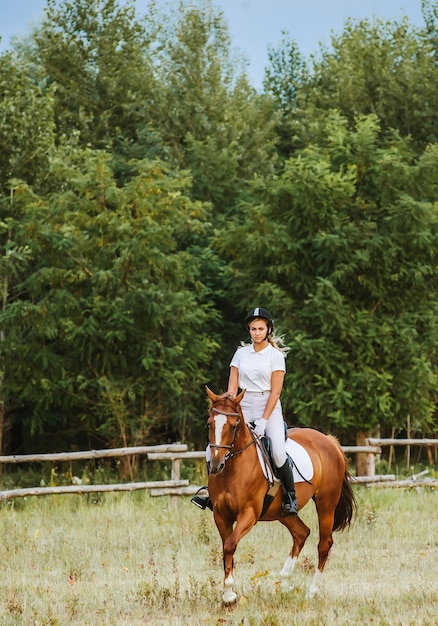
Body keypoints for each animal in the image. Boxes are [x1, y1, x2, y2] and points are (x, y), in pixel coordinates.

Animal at [205, 386, 356, 604]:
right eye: (209, 424)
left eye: (234, 426)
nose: (216, 465)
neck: (233, 470)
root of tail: (329, 440)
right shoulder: (220, 514)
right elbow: (226, 549)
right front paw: (228, 594)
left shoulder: (249, 513)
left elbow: (230, 545)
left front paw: (229, 594)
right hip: (281, 512)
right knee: (301, 533)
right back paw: (284, 582)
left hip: (326, 504)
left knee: (324, 544)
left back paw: (311, 591)